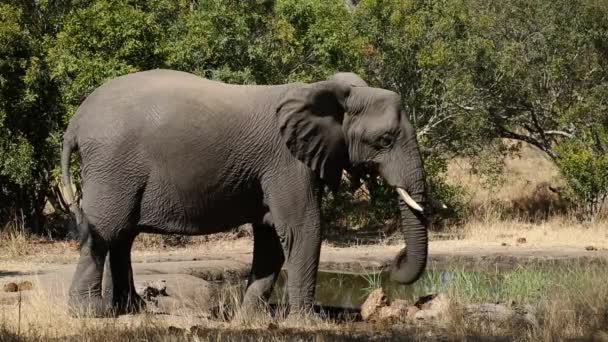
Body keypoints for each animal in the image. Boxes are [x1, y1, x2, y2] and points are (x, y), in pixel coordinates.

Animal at [59, 69, 426, 318]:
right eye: (385, 140)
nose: (394, 263)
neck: (327, 91)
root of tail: (76, 121)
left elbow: (271, 236)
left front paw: (250, 318)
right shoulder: (287, 161)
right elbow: (302, 228)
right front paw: (306, 322)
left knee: (122, 235)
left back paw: (131, 309)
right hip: (113, 165)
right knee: (106, 232)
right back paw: (91, 313)